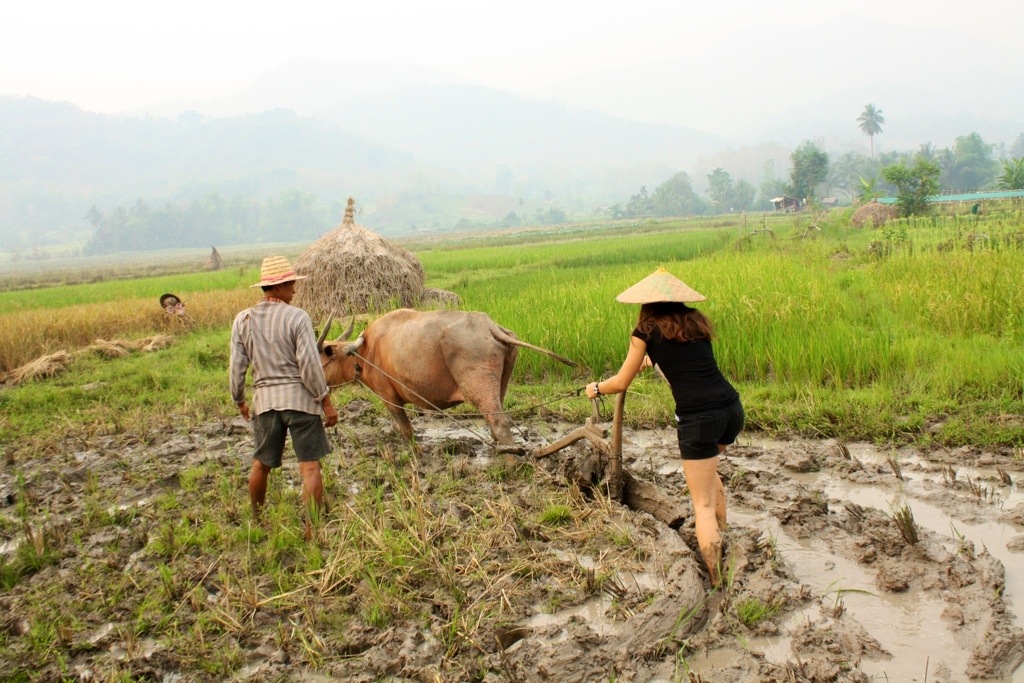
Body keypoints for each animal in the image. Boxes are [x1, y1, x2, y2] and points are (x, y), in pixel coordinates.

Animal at [318, 309, 576, 445]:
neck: (363, 351)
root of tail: (488, 326)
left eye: (320, 356)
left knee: (499, 423)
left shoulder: (389, 398)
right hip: (500, 382)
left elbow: (407, 431)